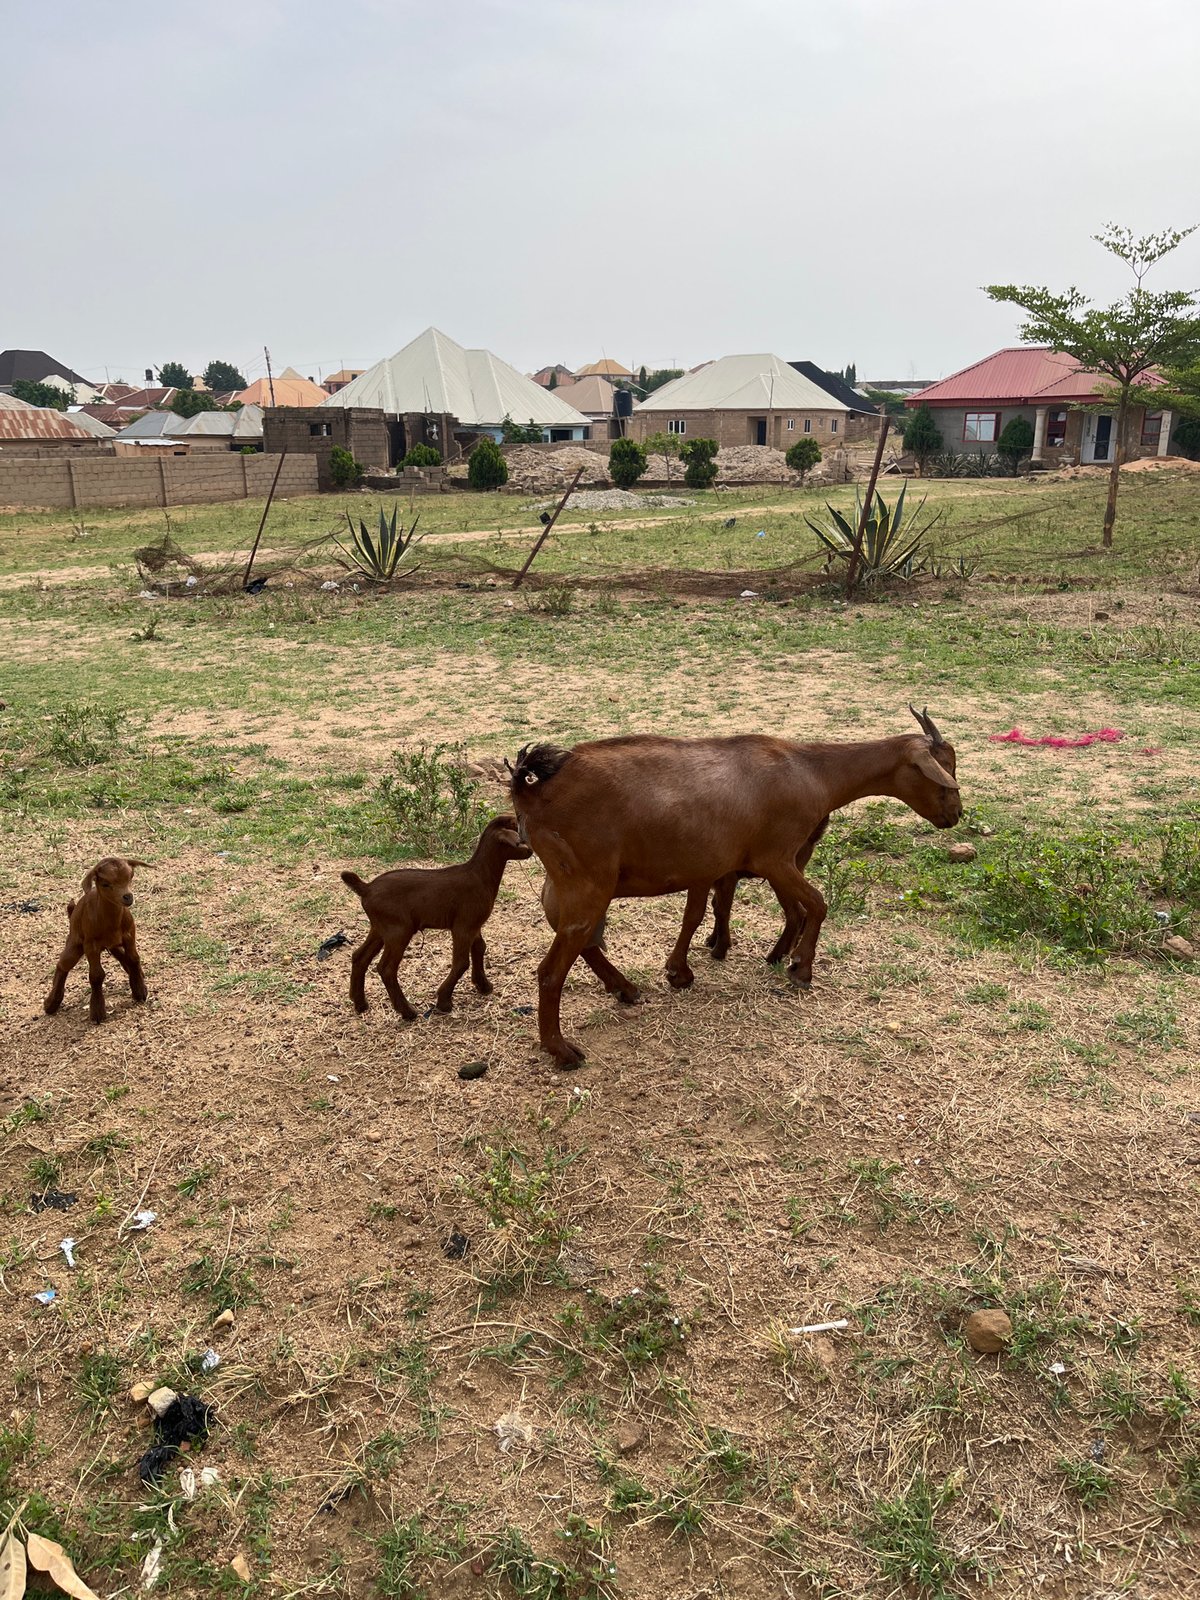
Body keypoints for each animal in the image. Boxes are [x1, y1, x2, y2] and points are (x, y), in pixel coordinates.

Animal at [44, 857, 151, 1024]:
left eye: (130, 877)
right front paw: (97, 1012)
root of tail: (73, 911)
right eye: (105, 883)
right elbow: (96, 975)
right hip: (74, 942)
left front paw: (140, 991)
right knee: (63, 965)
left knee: (121, 955)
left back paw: (138, 974)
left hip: (112, 943)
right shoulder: (90, 945)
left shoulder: (129, 934)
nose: (128, 897)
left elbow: (133, 958)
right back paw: (51, 1004)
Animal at [341, 815, 532, 1020]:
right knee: (386, 968)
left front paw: (483, 985)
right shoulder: (463, 926)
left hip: (380, 927)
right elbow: (461, 962)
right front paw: (444, 1001)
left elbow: (480, 948)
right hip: (398, 930)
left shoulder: (473, 924)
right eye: (518, 836)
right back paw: (407, 1011)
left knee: (359, 956)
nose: (530, 851)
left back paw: (360, 1004)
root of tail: (366, 888)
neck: (480, 875)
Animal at [512, 709, 960, 1065]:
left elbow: (698, 914)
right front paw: (800, 967)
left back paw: (624, 988)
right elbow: (816, 905)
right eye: (945, 768)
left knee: (579, 938)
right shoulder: (777, 857)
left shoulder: (707, 865)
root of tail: (533, 789)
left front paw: (682, 970)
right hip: (588, 882)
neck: (811, 770)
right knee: (552, 970)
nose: (956, 814)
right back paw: (561, 1050)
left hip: (571, 884)